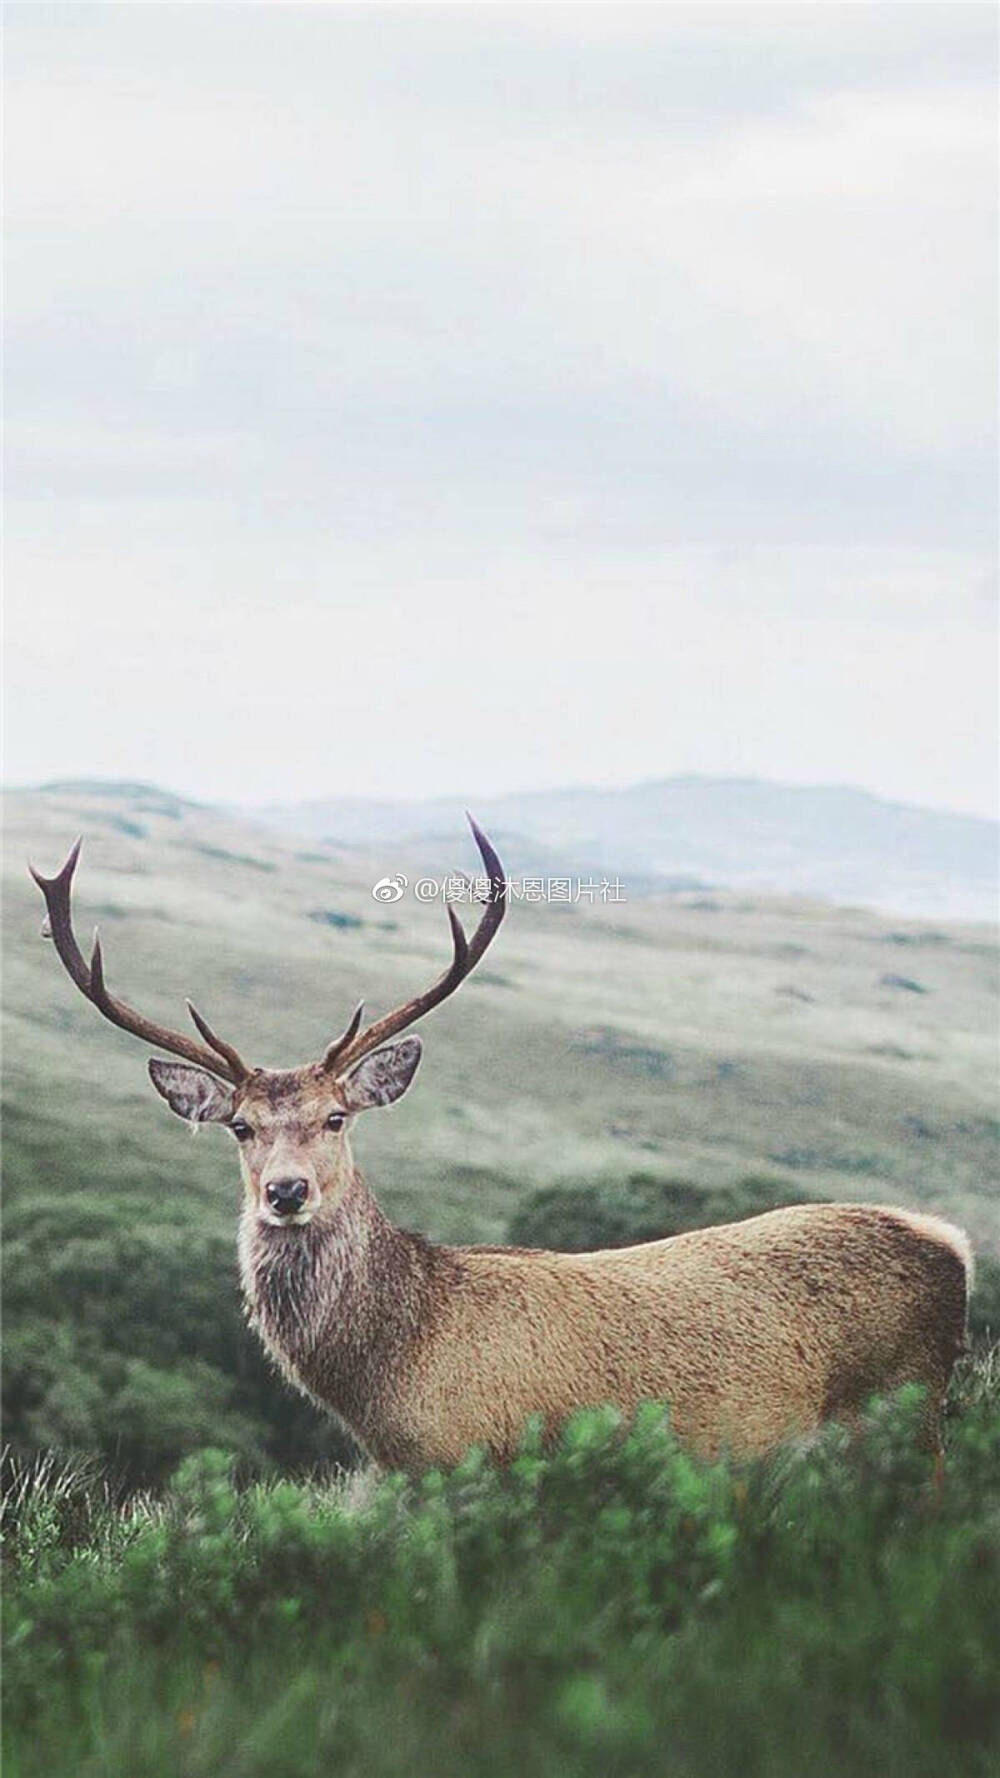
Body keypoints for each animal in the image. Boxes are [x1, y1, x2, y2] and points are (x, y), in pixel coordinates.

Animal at [29, 821, 967, 1472]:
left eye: (337, 1118)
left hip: (906, 1409)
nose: (286, 1192)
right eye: (240, 1126)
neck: (394, 1376)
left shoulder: (489, 1456)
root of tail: (950, 1242)